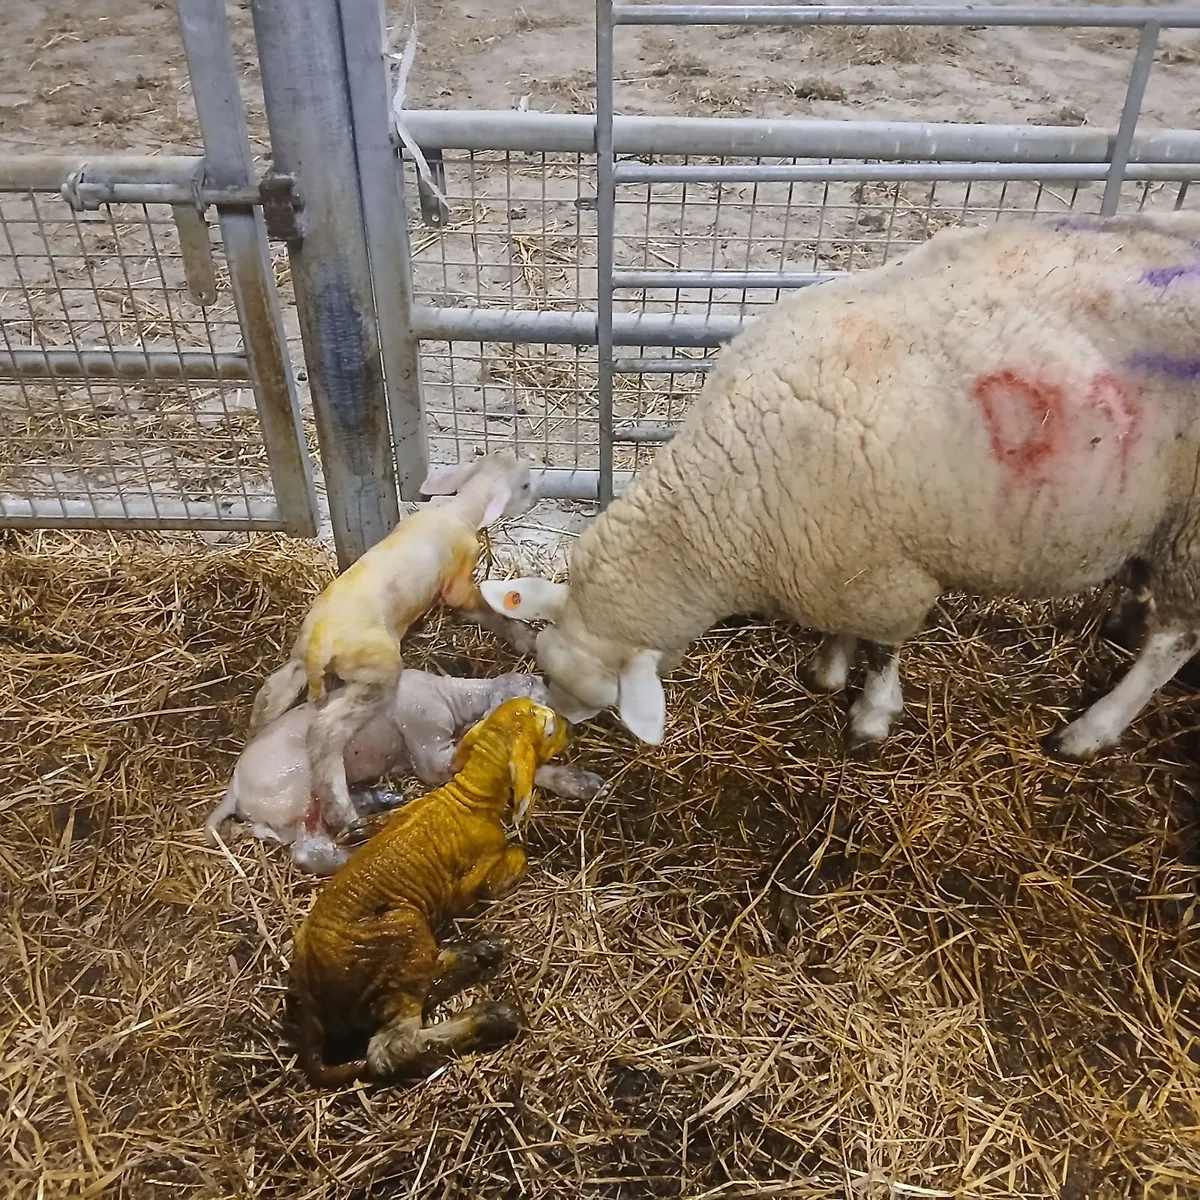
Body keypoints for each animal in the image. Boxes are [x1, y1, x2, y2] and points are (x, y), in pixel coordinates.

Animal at [205, 667, 606, 875]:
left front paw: (585, 783)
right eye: (542, 722)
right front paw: (579, 781)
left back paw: (379, 800)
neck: (453, 698)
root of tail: (236, 788)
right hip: (297, 789)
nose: (571, 733)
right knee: (309, 849)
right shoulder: (429, 747)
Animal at [247, 451, 539, 837]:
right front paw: (523, 636)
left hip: (299, 656)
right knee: (325, 732)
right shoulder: (458, 581)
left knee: (272, 693)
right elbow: (483, 609)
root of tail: (320, 641)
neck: (459, 510)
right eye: (525, 484)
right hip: (377, 671)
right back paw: (345, 815)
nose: (536, 497)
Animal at [286, 696, 568, 1086]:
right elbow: (513, 860)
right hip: (403, 932)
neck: (469, 798)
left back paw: (480, 951)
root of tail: (311, 999)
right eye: (550, 728)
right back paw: (492, 1016)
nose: (569, 726)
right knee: (390, 1050)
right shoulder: (473, 880)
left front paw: (358, 830)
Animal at [479, 213, 1200, 760]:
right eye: (542, 666)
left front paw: (871, 715)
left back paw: (1092, 729)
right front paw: (825, 670)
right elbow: (840, 629)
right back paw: (1123, 617)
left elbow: (882, 650)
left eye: (602, 701)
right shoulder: (836, 555)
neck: (720, 497)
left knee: (1177, 640)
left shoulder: (887, 575)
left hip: (1191, 521)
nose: (553, 725)